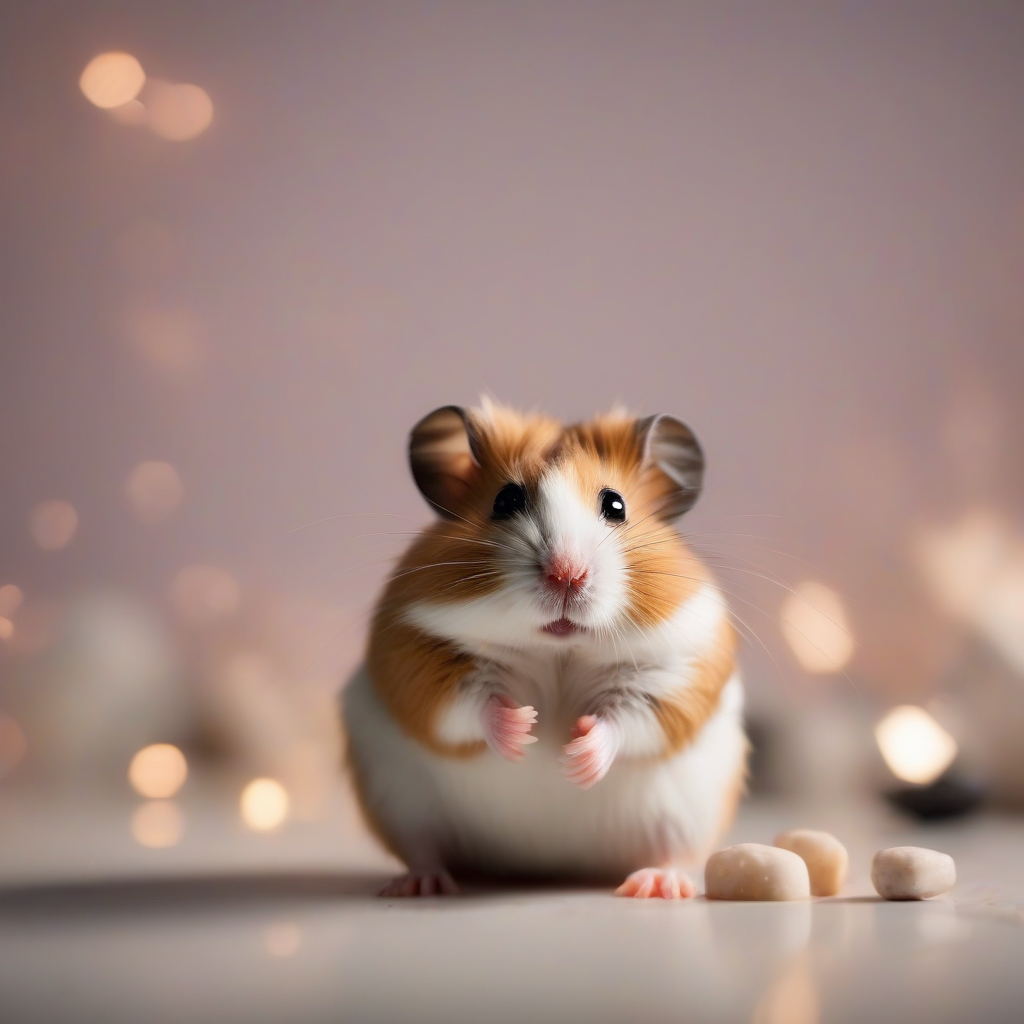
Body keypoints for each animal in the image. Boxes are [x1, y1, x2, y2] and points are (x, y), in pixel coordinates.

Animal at [343, 399, 746, 898]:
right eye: (505, 500)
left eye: (616, 505)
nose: (566, 575)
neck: (558, 648)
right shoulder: (413, 651)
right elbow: (466, 705)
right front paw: (524, 730)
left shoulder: (676, 664)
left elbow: (629, 718)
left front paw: (575, 752)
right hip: (399, 802)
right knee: (423, 849)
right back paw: (421, 885)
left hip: (685, 814)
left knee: (670, 851)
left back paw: (658, 885)